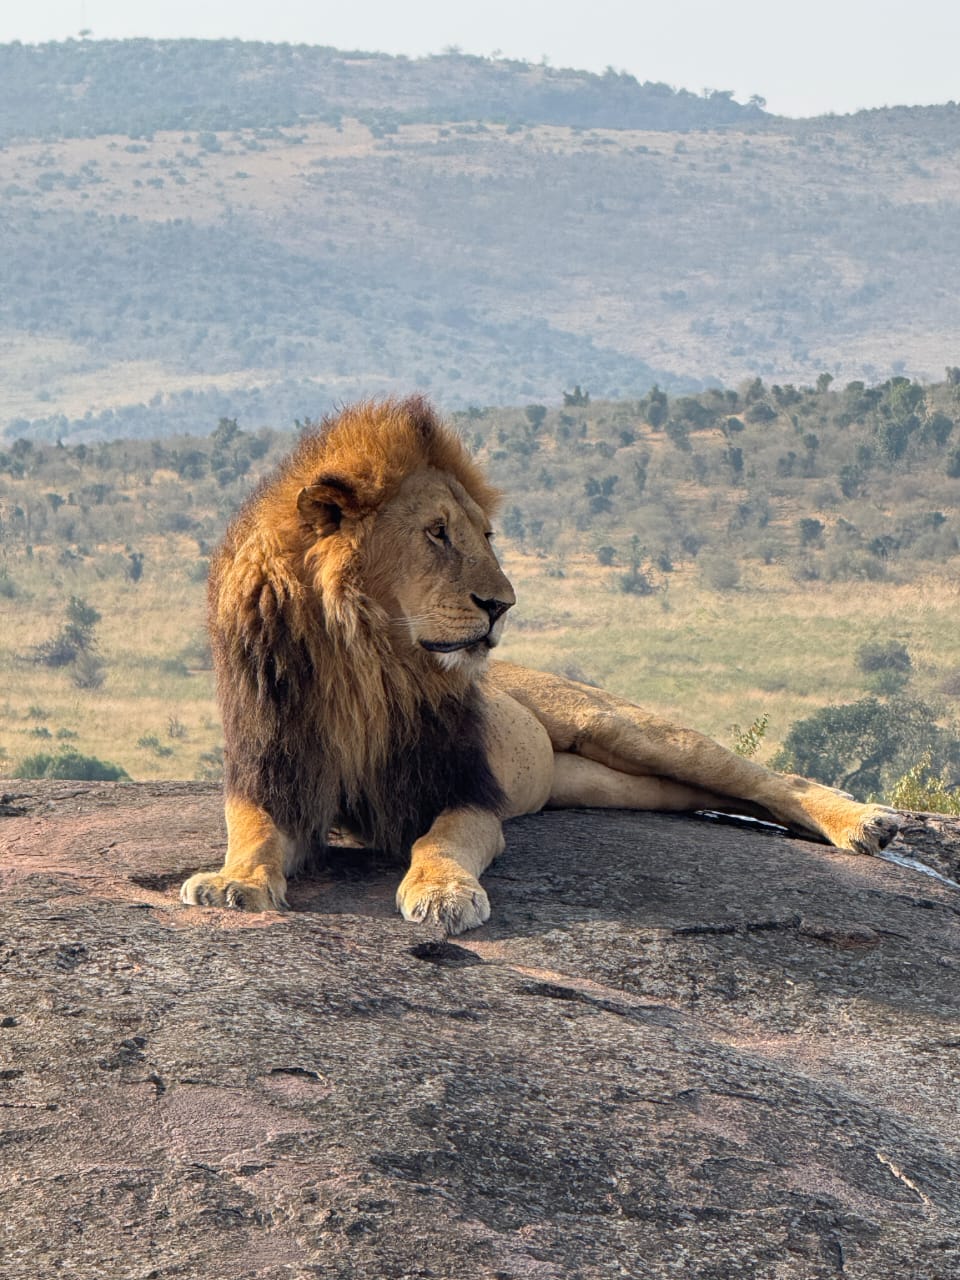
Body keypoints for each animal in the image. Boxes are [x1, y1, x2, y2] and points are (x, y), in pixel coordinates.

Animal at [180, 396, 900, 933]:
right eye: (436, 533)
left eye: (485, 535)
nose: (502, 605)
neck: (370, 659)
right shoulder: (275, 773)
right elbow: (252, 831)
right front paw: (232, 882)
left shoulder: (466, 790)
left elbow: (440, 842)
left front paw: (443, 893)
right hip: (604, 782)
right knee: (706, 795)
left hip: (619, 725)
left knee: (764, 777)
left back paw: (867, 822)